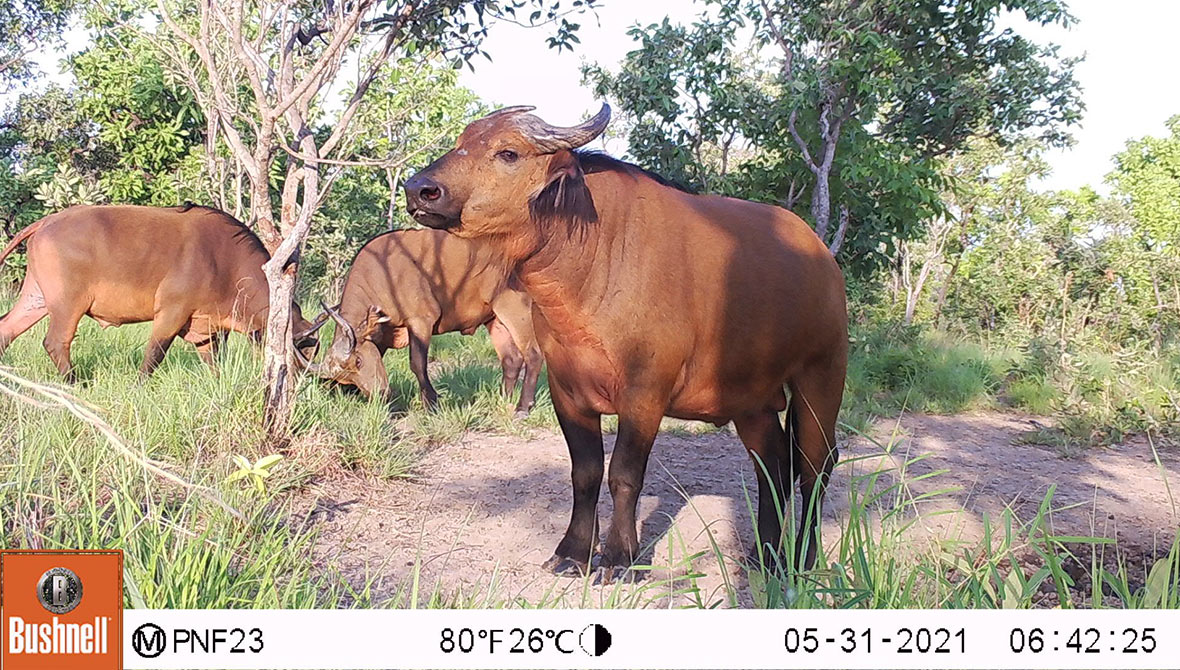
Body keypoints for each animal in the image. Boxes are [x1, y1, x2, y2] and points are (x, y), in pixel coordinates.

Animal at [0, 204, 316, 379]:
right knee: (56, 343)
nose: (311, 381)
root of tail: (48, 221)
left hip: (36, 300)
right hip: (68, 306)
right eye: (303, 347)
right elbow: (153, 357)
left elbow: (214, 365)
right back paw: (75, 383)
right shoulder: (171, 315)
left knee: (6, 330)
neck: (224, 260)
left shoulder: (205, 330)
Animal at [300, 228, 543, 414]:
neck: (384, 275)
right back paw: (503, 399)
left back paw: (523, 407)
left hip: (516, 308)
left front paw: (432, 404)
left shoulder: (420, 322)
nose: (380, 395)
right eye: (347, 380)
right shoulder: (383, 336)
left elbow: (417, 363)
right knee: (512, 359)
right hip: (494, 319)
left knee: (533, 354)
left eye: (358, 361)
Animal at [404, 104, 848, 575]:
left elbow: (623, 473)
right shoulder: (566, 392)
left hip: (822, 376)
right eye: (460, 141)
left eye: (508, 152)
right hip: (752, 401)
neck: (592, 267)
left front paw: (619, 556)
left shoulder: (644, 392)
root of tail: (822, 256)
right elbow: (585, 473)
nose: (419, 190)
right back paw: (766, 553)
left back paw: (804, 556)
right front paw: (573, 550)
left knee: (815, 464)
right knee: (772, 463)